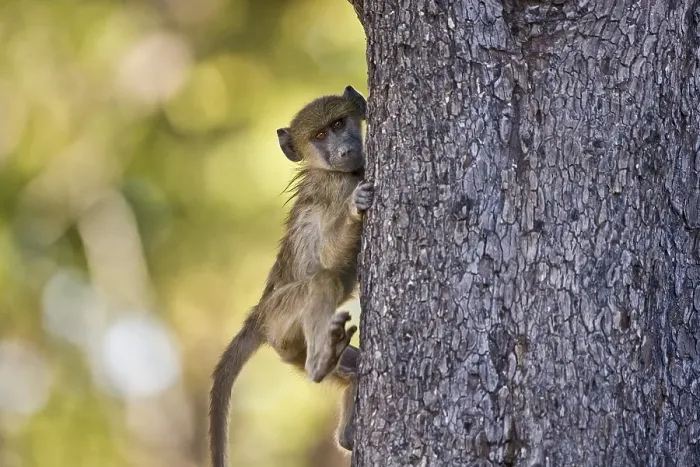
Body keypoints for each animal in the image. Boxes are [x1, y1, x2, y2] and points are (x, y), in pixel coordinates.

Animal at [209, 85, 373, 467]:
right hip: (282, 316)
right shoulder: (335, 190)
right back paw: (318, 365)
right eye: (319, 136)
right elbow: (327, 256)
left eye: (339, 124)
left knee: (348, 364)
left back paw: (345, 431)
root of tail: (259, 313)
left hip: (288, 341)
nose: (344, 150)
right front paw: (355, 208)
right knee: (322, 282)